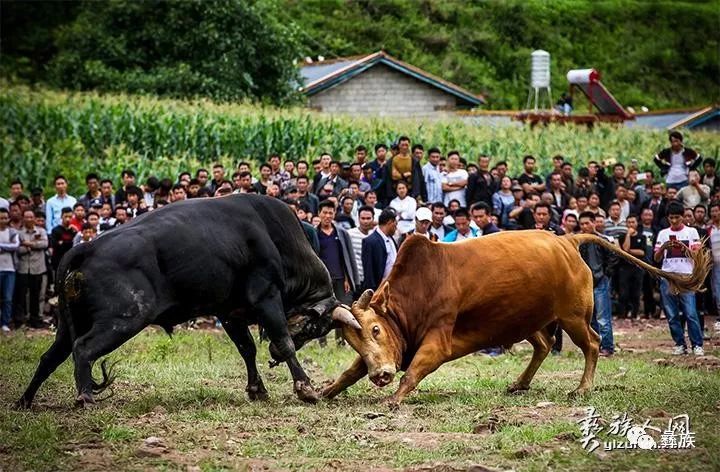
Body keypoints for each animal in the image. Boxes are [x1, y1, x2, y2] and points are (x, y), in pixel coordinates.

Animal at [18, 194, 360, 408]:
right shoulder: (266, 298)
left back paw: (25, 401)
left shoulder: (230, 313)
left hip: (69, 325)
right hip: (123, 319)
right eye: (315, 328)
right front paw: (305, 388)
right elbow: (285, 342)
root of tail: (85, 247)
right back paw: (85, 398)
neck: (277, 239)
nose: (272, 354)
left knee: (50, 358)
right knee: (83, 350)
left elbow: (247, 349)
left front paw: (257, 389)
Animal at [324, 230, 712, 404]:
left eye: (376, 329)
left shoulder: (437, 340)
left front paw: (392, 399)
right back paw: (520, 383)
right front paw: (327, 389)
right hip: (527, 320)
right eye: (355, 341)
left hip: (573, 317)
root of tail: (567, 240)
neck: (420, 288)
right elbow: (351, 372)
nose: (381, 376)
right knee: (543, 345)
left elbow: (414, 370)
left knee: (592, 343)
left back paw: (582, 388)